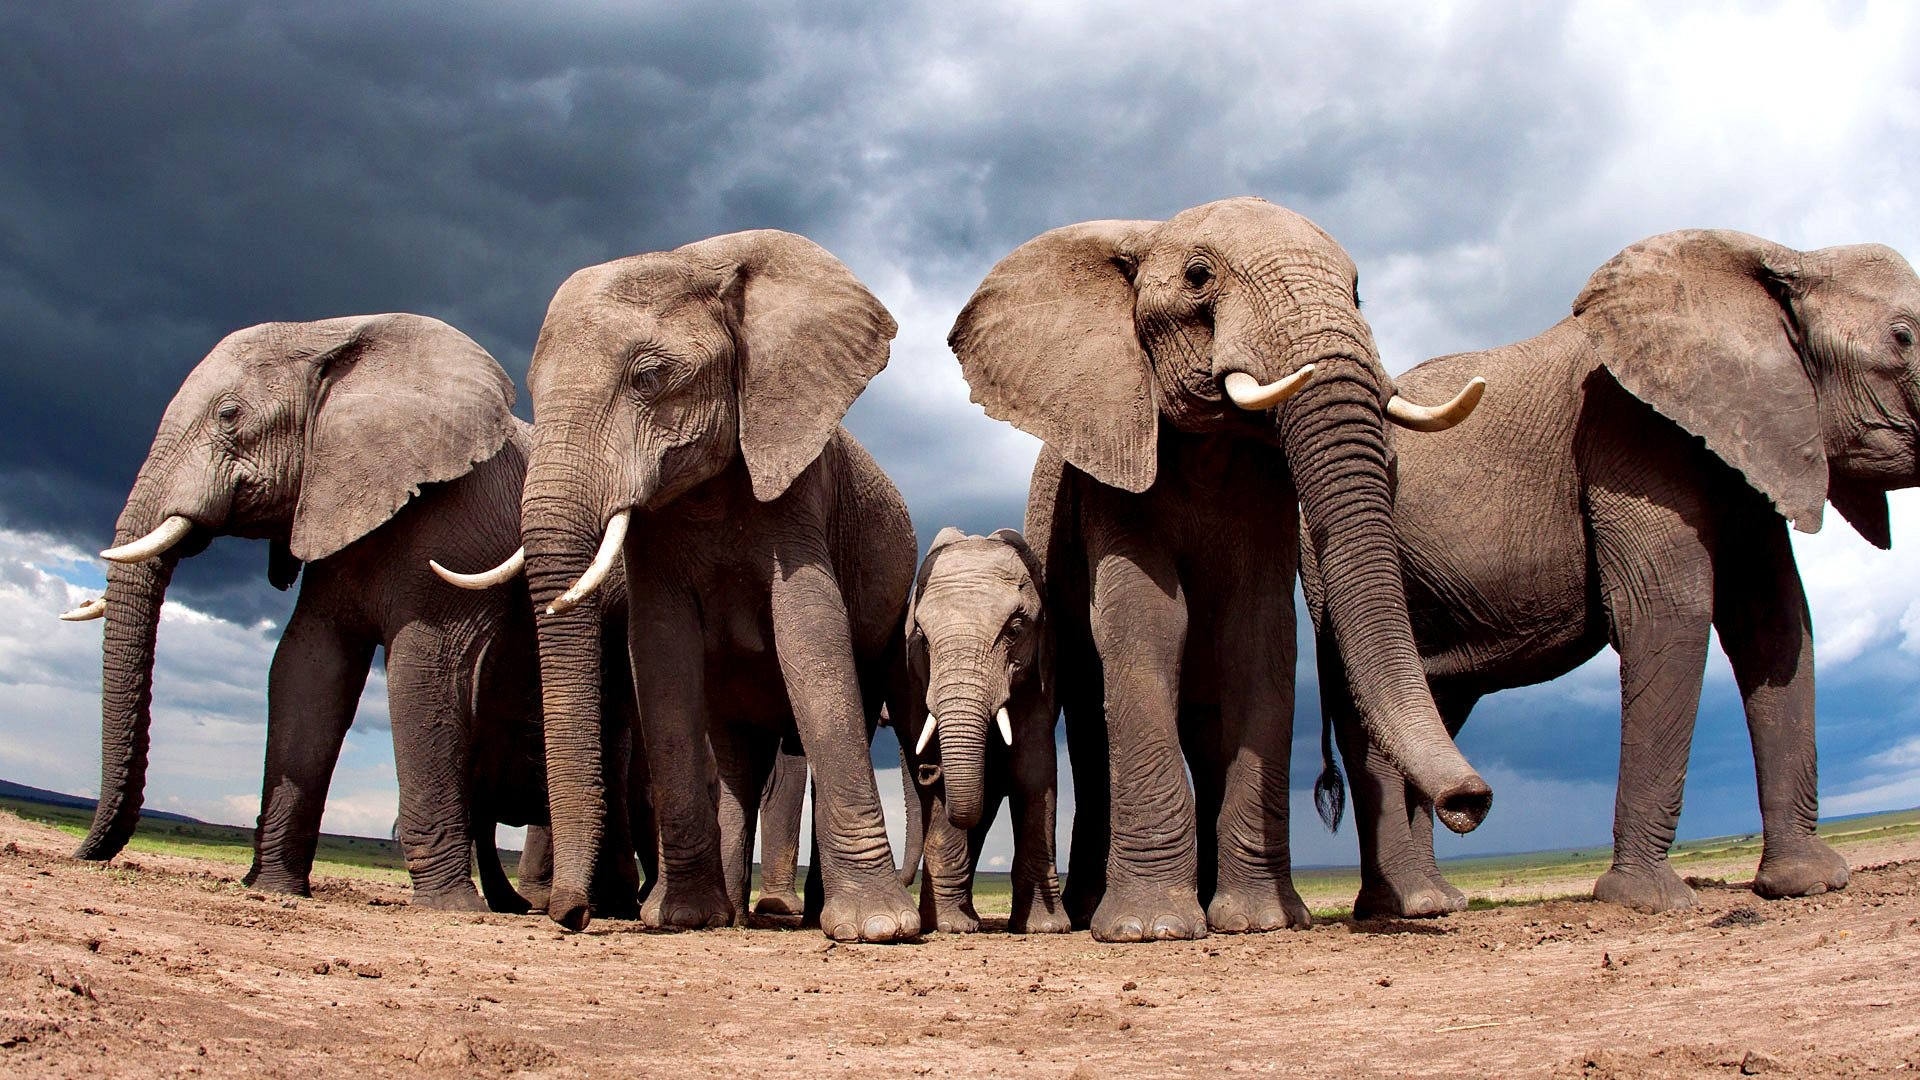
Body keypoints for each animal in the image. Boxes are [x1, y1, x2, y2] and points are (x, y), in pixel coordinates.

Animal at [453, 226, 925, 933]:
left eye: (650, 377)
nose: (572, 915)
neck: (700, 260)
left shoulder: (799, 485)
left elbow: (811, 634)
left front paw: (878, 930)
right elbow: (659, 650)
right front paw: (678, 917)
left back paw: (803, 914)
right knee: (736, 754)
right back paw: (725, 915)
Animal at [894, 526, 1067, 930]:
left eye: (1014, 630)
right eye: (922, 638)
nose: (928, 770)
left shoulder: (1041, 674)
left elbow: (1034, 772)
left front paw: (1046, 926)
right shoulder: (917, 680)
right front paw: (951, 926)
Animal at [960, 197, 1497, 937]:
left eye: (1359, 291)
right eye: (1197, 277)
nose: (1471, 802)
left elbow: (1259, 632)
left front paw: (1261, 921)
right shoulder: (1114, 466)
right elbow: (1148, 622)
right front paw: (1151, 930)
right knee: (1087, 719)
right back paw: (1091, 910)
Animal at [1305, 231, 1920, 910]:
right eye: (1903, 338)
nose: (1476, 805)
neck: (1788, 258)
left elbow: (1776, 623)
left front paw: (1807, 883)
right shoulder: (1631, 435)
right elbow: (1669, 614)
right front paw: (1648, 902)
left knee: (1437, 701)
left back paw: (1439, 899)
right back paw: (1413, 904)